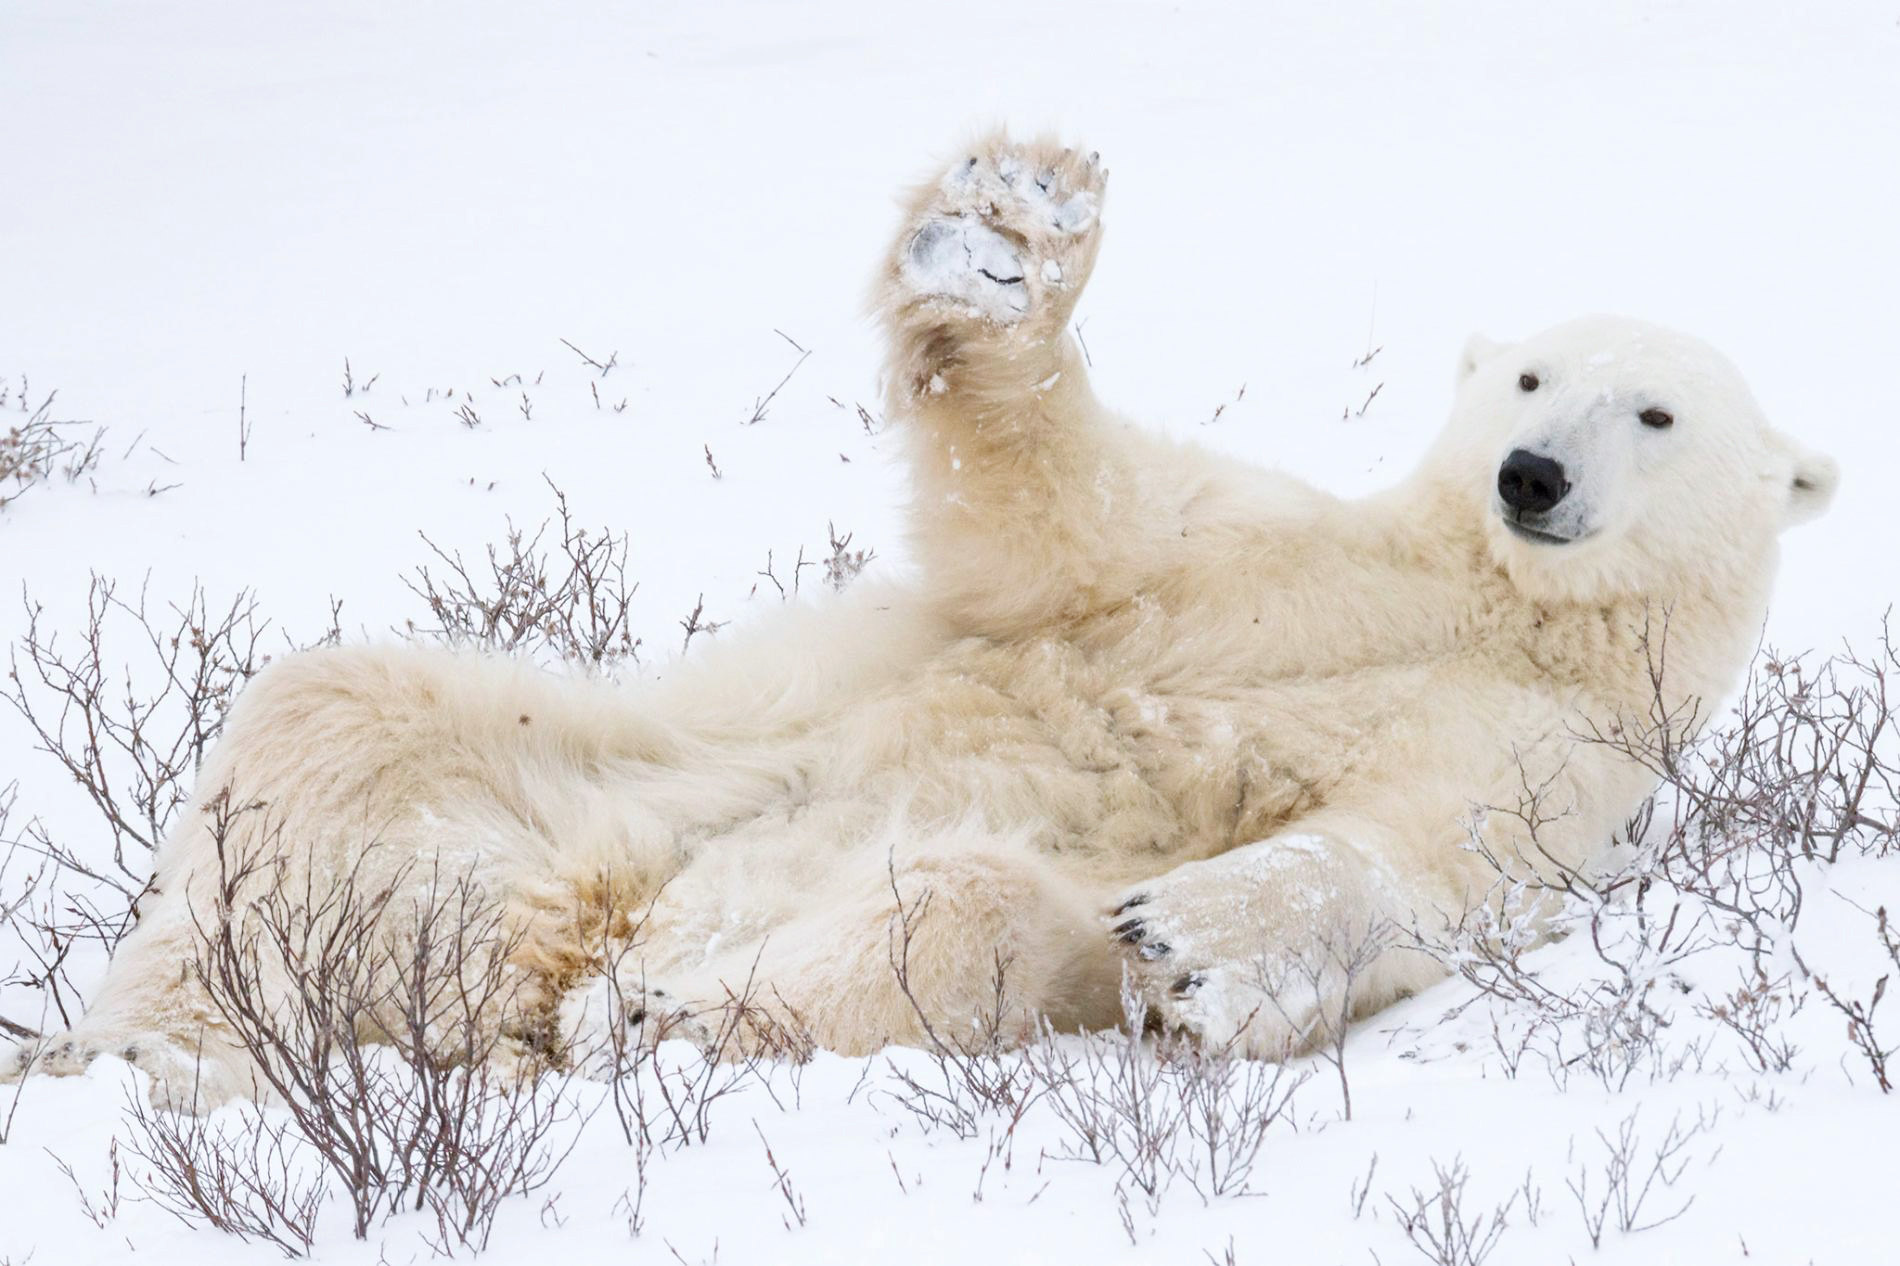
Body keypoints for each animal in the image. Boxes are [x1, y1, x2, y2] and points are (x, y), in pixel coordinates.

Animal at [3, 135, 1839, 1094]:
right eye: (1529, 376)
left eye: (1655, 410)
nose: (1531, 474)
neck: (1481, 598)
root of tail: (552, 936)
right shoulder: (1255, 560)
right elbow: (1058, 525)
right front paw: (1010, 229)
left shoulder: (1563, 753)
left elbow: (1416, 860)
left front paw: (1194, 933)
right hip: (594, 770)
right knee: (325, 719)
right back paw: (158, 1038)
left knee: (964, 912)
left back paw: (650, 1006)